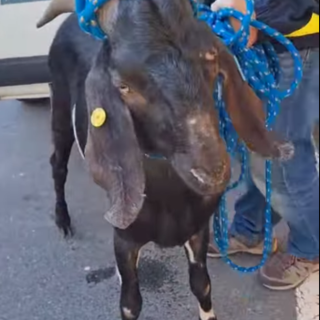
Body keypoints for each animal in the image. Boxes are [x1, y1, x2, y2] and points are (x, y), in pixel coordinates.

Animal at [37, 1, 290, 318]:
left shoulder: (198, 229)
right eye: (124, 86)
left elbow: (202, 284)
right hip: (59, 107)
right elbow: (130, 302)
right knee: (57, 164)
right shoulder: (125, 239)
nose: (212, 170)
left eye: (211, 56)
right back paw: (63, 221)